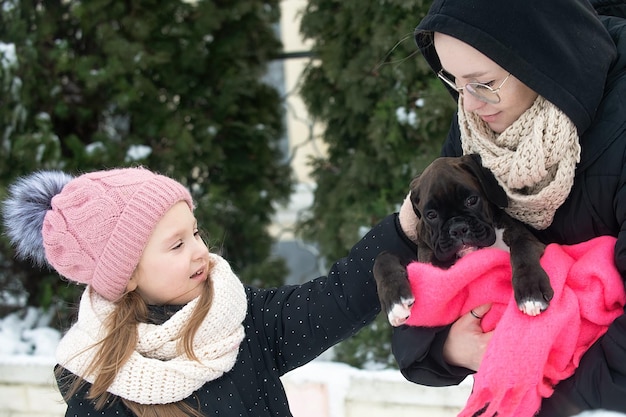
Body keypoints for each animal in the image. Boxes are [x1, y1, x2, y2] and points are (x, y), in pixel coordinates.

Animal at [370, 154, 552, 326]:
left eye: (472, 200)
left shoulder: (529, 240)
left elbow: (522, 249)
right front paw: (395, 302)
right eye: (431, 215)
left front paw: (530, 292)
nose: (457, 229)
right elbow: (383, 256)